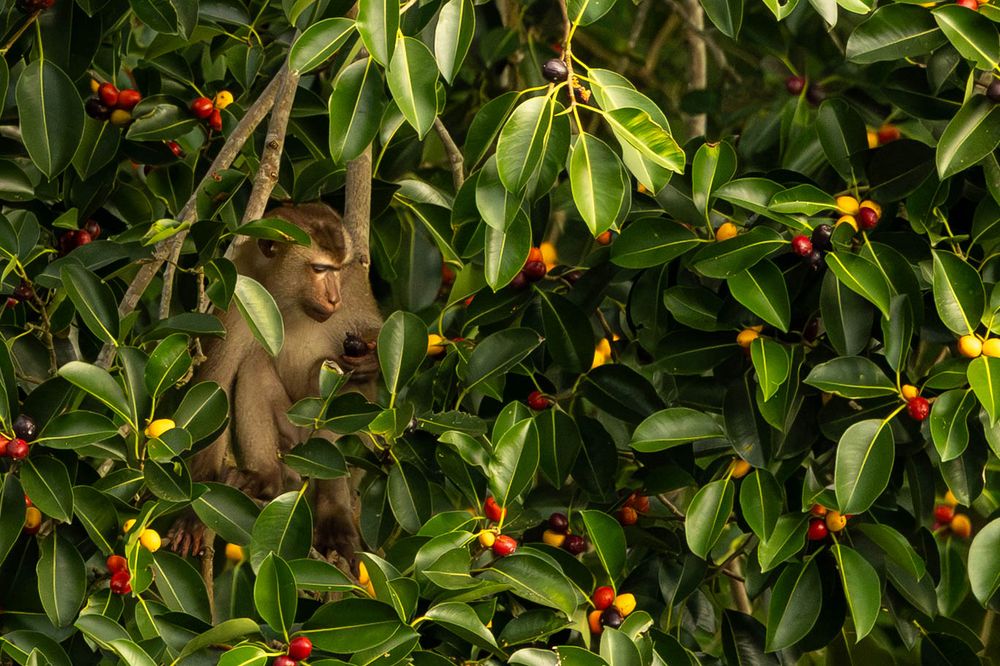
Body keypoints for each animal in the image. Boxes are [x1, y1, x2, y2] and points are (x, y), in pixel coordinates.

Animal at [168, 203, 383, 563]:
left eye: (336, 269)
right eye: (319, 269)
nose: (334, 298)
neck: (289, 301)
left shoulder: (353, 287)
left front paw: (373, 358)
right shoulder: (237, 295)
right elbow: (216, 387)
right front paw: (193, 513)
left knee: (346, 392)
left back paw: (333, 512)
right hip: (289, 443)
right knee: (254, 364)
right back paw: (265, 479)